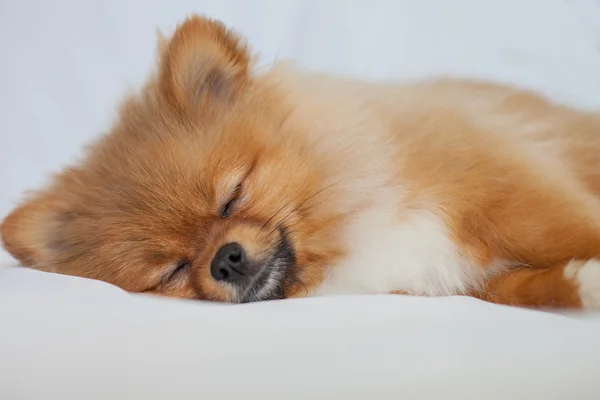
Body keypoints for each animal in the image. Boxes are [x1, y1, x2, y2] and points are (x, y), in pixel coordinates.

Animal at [1, 15, 600, 308]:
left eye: (233, 196)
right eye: (172, 269)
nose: (225, 260)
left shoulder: (513, 194)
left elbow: (571, 228)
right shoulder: (466, 278)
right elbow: (524, 287)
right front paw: (580, 284)